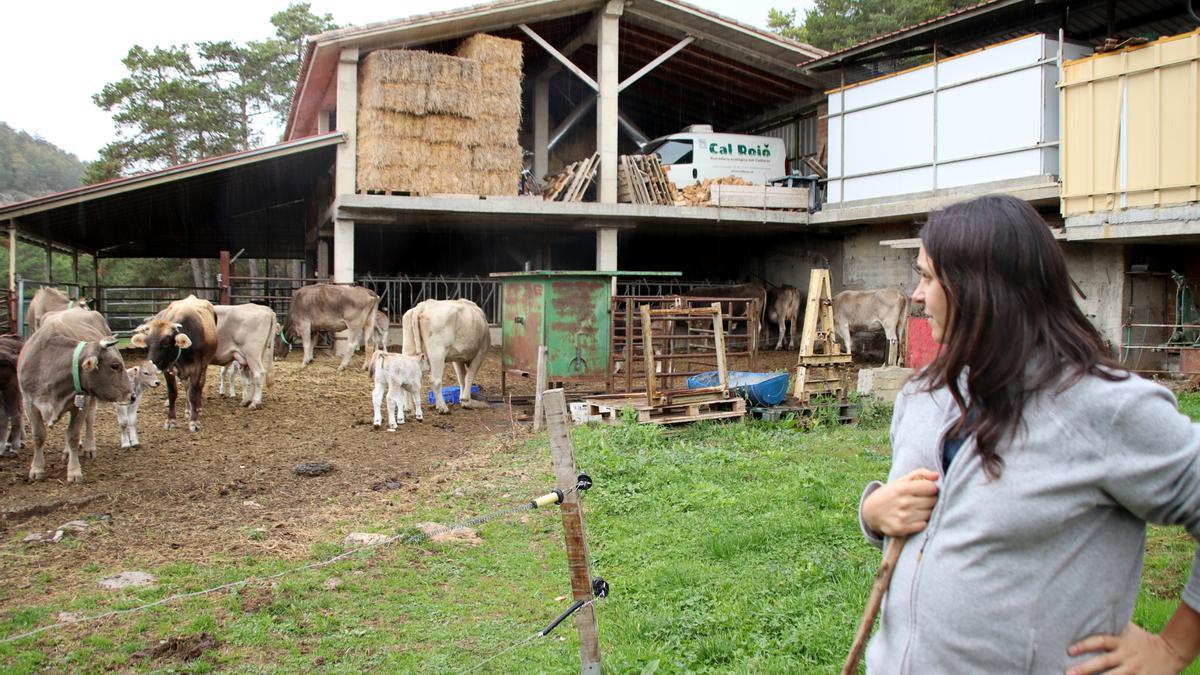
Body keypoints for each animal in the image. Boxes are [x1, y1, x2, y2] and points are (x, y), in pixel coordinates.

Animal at [133, 293, 220, 429]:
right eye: (147, 344)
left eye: (166, 343)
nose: (149, 367)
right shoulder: (168, 368)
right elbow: (173, 393)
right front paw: (171, 420)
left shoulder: (196, 367)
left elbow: (193, 393)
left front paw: (194, 420)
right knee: (187, 387)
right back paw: (188, 409)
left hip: (205, 364)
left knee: (200, 384)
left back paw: (197, 408)